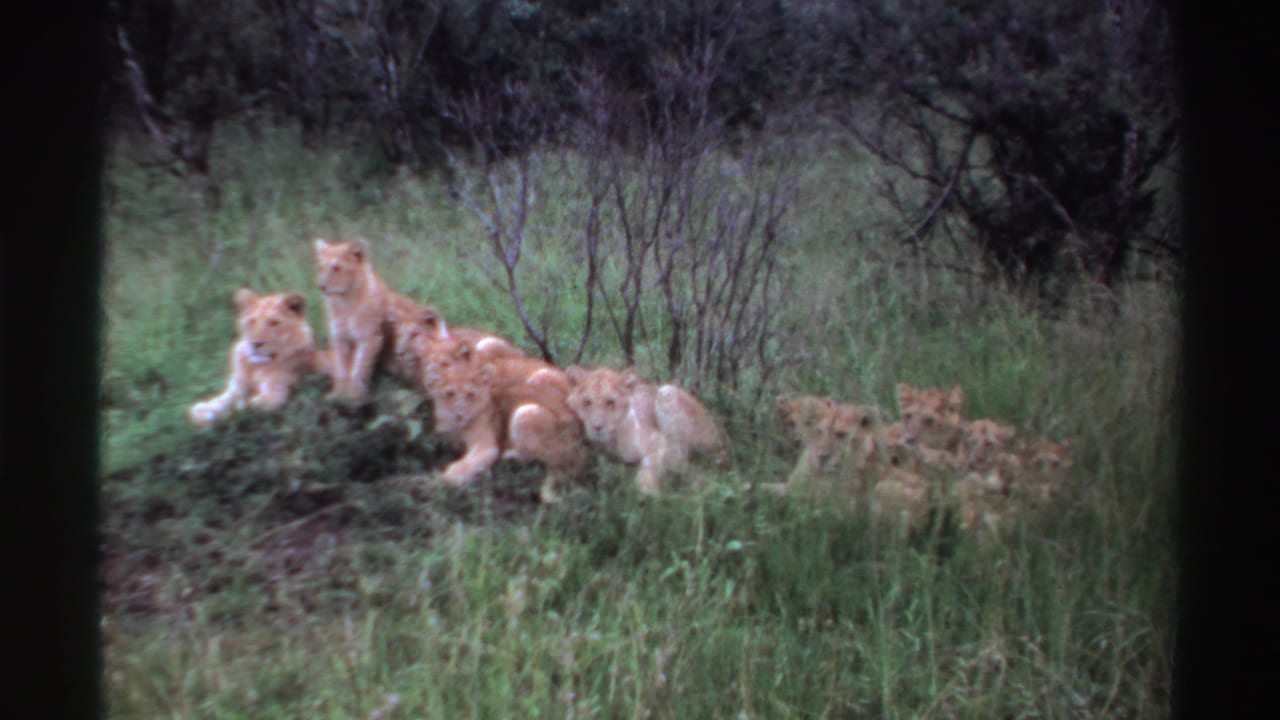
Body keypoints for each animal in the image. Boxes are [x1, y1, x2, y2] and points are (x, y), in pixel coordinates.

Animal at [188, 288, 329, 426]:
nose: (255, 343)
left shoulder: (274, 396)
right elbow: (224, 400)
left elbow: (243, 407)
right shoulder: (237, 386)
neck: (255, 366)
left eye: (274, 323)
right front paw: (202, 411)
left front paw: (217, 417)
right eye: (252, 321)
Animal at [425, 352, 586, 504]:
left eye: (470, 394)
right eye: (449, 394)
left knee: (542, 459)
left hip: (525, 413)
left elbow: (466, 465)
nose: (459, 415)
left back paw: (510, 456)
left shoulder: (487, 446)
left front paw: (439, 481)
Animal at [566, 366, 726, 495]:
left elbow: (650, 465)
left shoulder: (660, 443)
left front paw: (647, 493)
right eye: (586, 402)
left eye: (610, 402)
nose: (597, 427)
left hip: (667, 393)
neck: (612, 440)